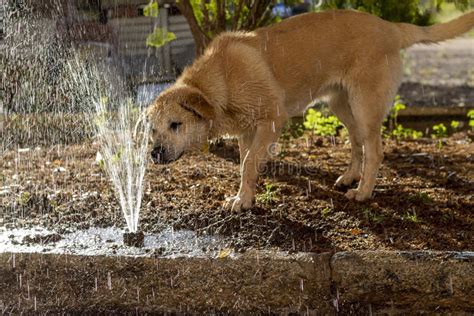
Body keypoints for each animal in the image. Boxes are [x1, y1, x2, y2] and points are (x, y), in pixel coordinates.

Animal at [147, 9, 474, 211]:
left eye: (176, 124)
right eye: (153, 130)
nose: (154, 154)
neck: (220, 80)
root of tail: (389, 27)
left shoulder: (271, 120)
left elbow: (249, 163)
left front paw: (243, 200)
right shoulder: (247, 131)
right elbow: (244, 165)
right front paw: (245, 196)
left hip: (365, 106)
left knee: (375, 151)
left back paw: (363, 192)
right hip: (342, 106)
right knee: (357, 143)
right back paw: (350, 177)